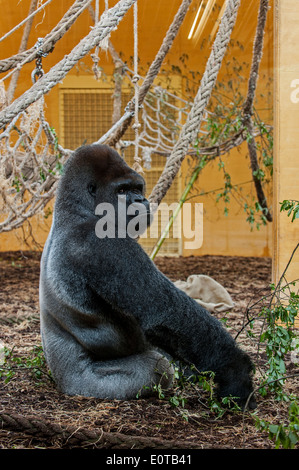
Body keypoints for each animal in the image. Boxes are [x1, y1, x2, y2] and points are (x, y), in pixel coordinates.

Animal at [38, 145, 256, 410]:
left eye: (137, 188)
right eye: (122, 191)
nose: (141, 200)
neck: (74, 210)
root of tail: (60, 381)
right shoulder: (102, 243)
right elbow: (164, 313)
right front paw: (236, 372)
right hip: (88, 385)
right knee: (157, 366)